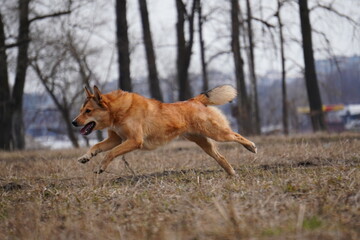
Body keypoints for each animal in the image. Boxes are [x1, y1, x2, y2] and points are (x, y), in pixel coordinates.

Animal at [71, 85, 256, 175]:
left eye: (88, 111)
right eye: (81, 110)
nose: (73, 122)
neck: (118, 111)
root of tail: (195, 100)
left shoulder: (134, 141)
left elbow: (110, 153)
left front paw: (101, 167)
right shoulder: (115, 139)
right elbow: (96, 147)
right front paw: (86, 157)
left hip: (218, 134)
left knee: (236, 135)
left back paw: (251, 147)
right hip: (204, 143)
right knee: (221, 157)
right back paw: (231, 173)